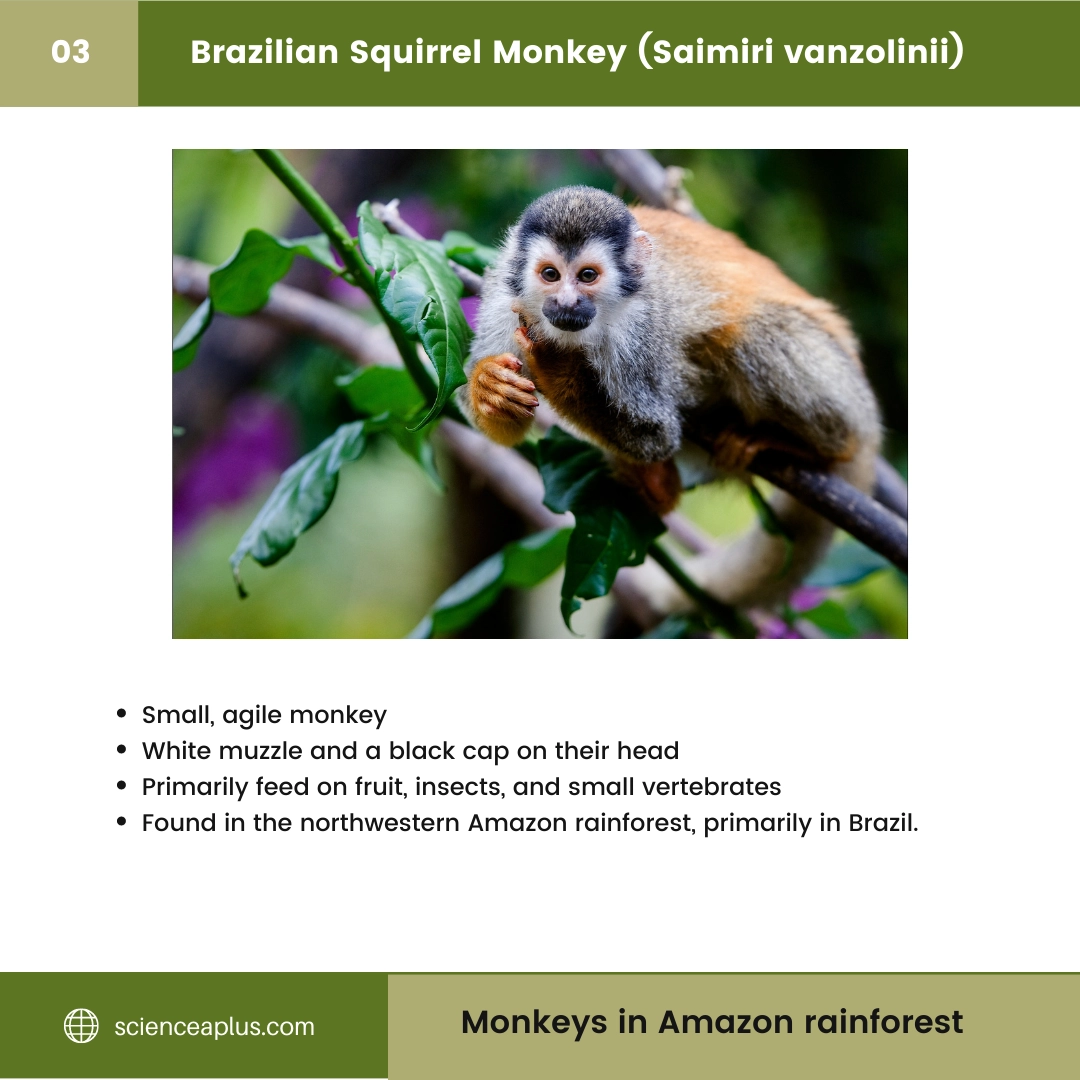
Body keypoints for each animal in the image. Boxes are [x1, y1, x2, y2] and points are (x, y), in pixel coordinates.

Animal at [460, 185, 882, 611]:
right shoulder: (503, 299)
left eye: (587, 276)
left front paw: (558, 368)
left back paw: (816, 446)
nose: (566, 304)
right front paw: (488, 388)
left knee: (750, 334)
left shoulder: (641, 326)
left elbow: (656, 436)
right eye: (550, 274)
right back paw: (657, 486)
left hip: (845, 393)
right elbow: (497, 427)